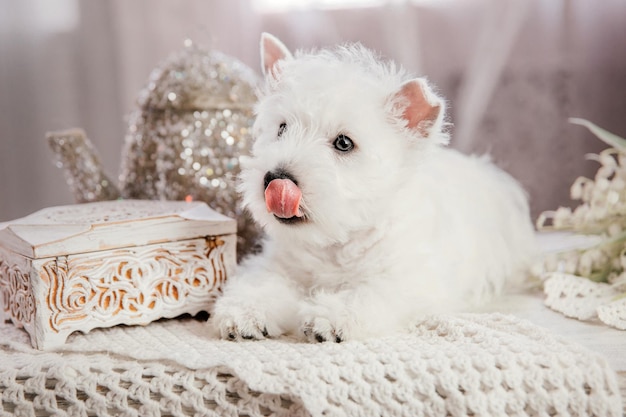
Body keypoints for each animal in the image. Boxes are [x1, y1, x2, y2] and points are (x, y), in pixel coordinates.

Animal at [208, 33, 532, 342]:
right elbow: (264, 282)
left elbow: (366, 293)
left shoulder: (407, 280)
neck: (337, 242)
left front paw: (329, 318)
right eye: (282, 127)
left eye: (343, 143)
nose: (275, 178)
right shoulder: (279, 265)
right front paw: (245, 311)